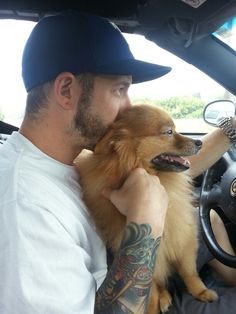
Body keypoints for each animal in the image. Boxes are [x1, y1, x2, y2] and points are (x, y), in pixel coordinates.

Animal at [75, 105, 218, 312]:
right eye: (169, 132)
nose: (199, 142)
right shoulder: (146, 259)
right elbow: (150, 292)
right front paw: (153, 307)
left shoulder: (183, 237)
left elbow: (189, 271)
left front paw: (201, 291)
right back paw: (164, 298)